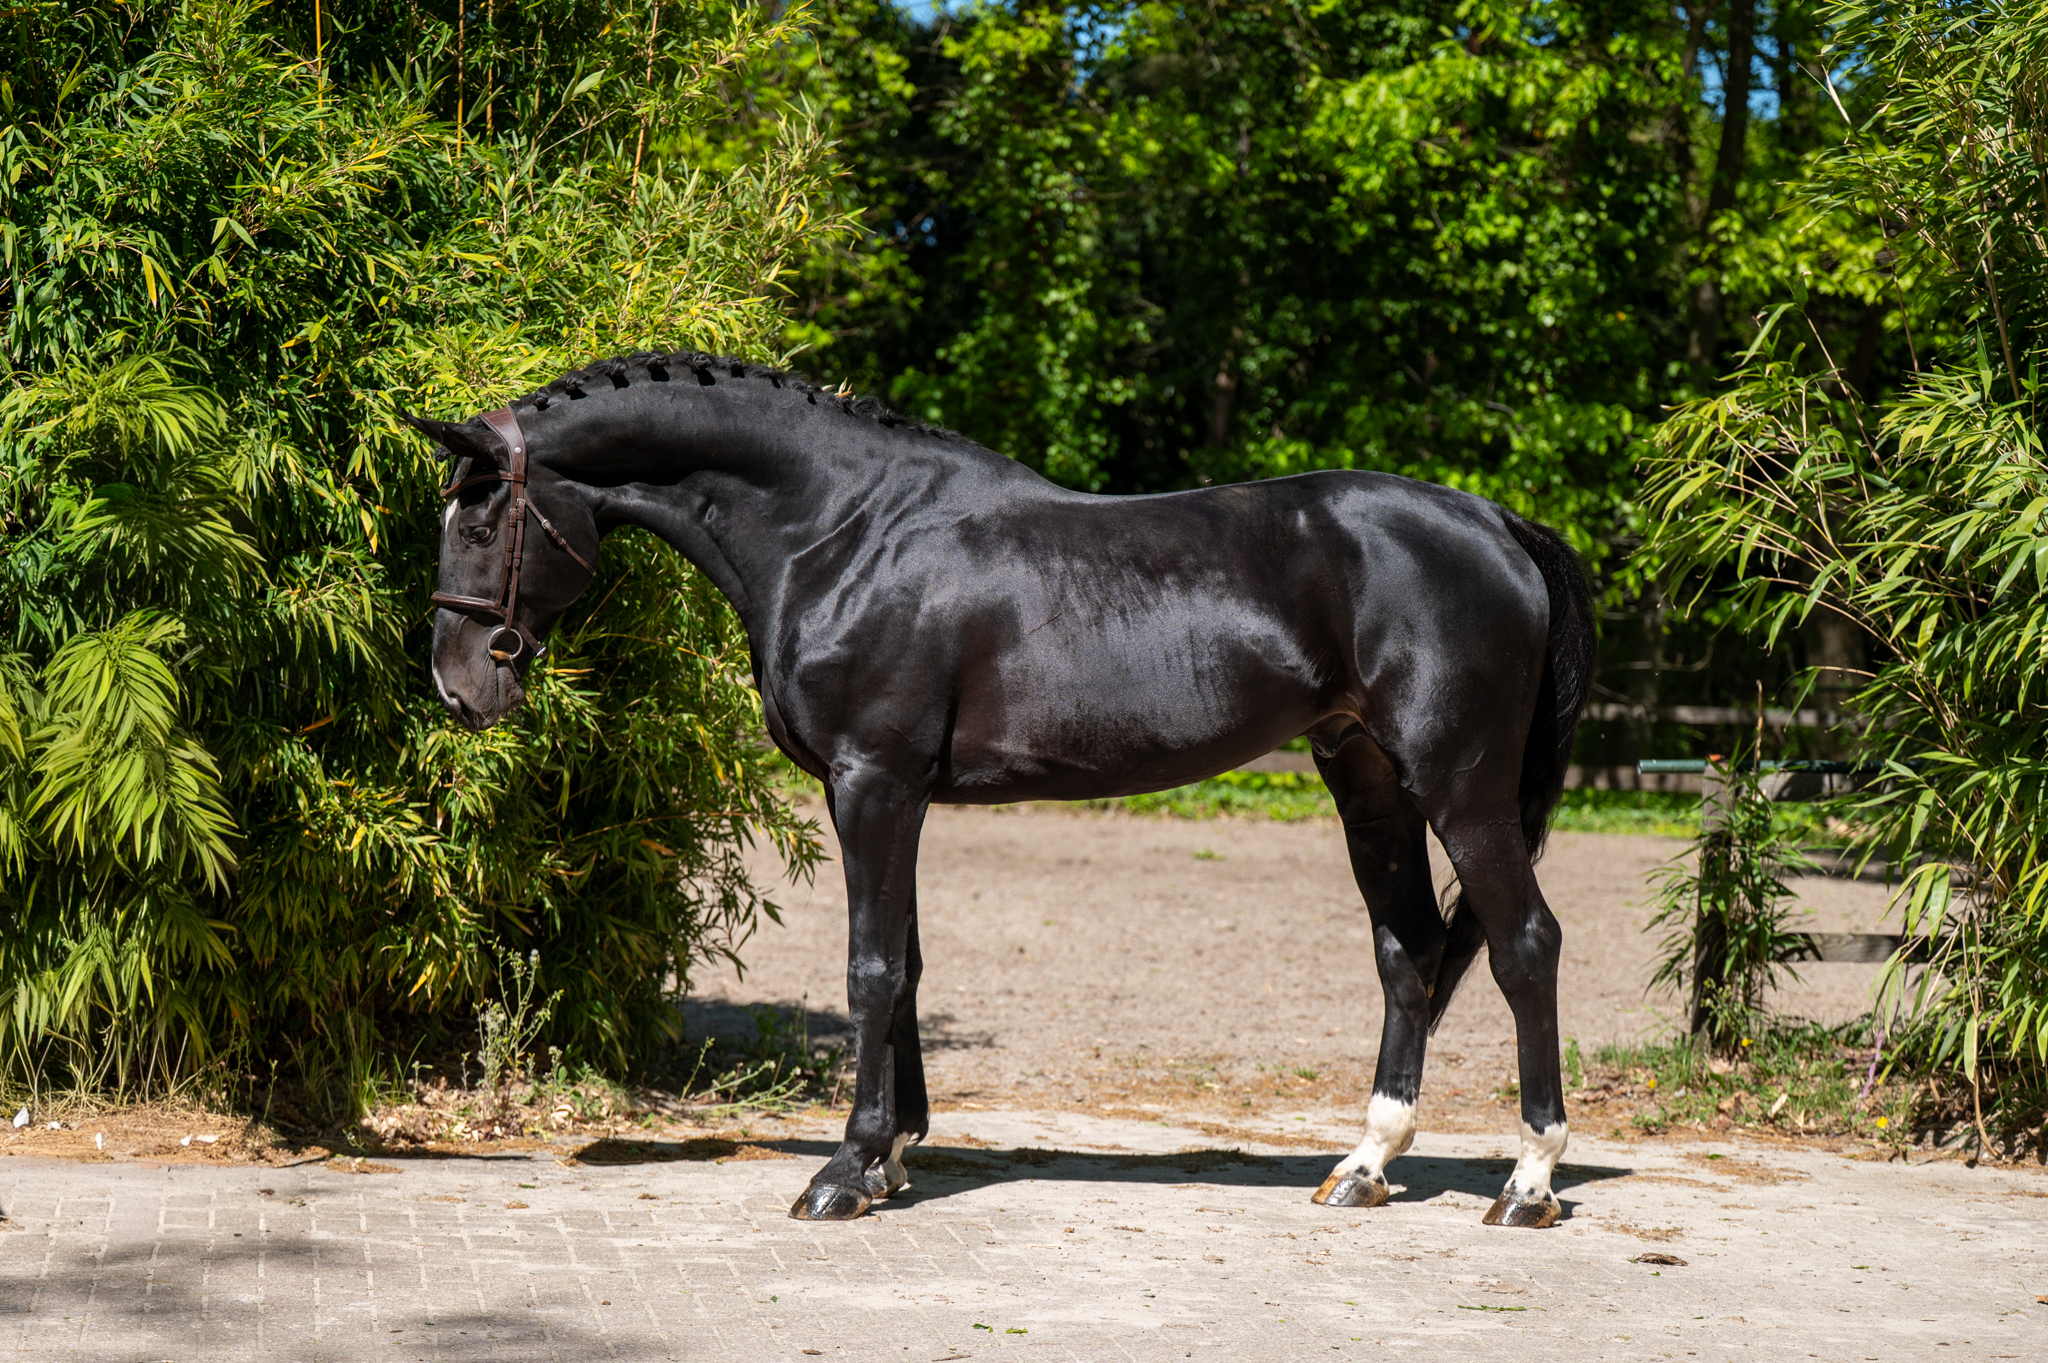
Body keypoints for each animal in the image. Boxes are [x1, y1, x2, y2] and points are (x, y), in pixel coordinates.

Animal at [407, 350, 1595, 1228]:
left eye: (482, 520)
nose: (460, 689)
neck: (842, 531)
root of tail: (1496, 523)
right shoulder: (885, 794)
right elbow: (907, 966)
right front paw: (892, 1154)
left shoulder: (874, 783)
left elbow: (871, 970)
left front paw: (842, 1173)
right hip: (1368, 779)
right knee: (1407, 950)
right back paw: (1363, 1164)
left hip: (1460, 787)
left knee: (1524, 943)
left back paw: (1526, 1181)